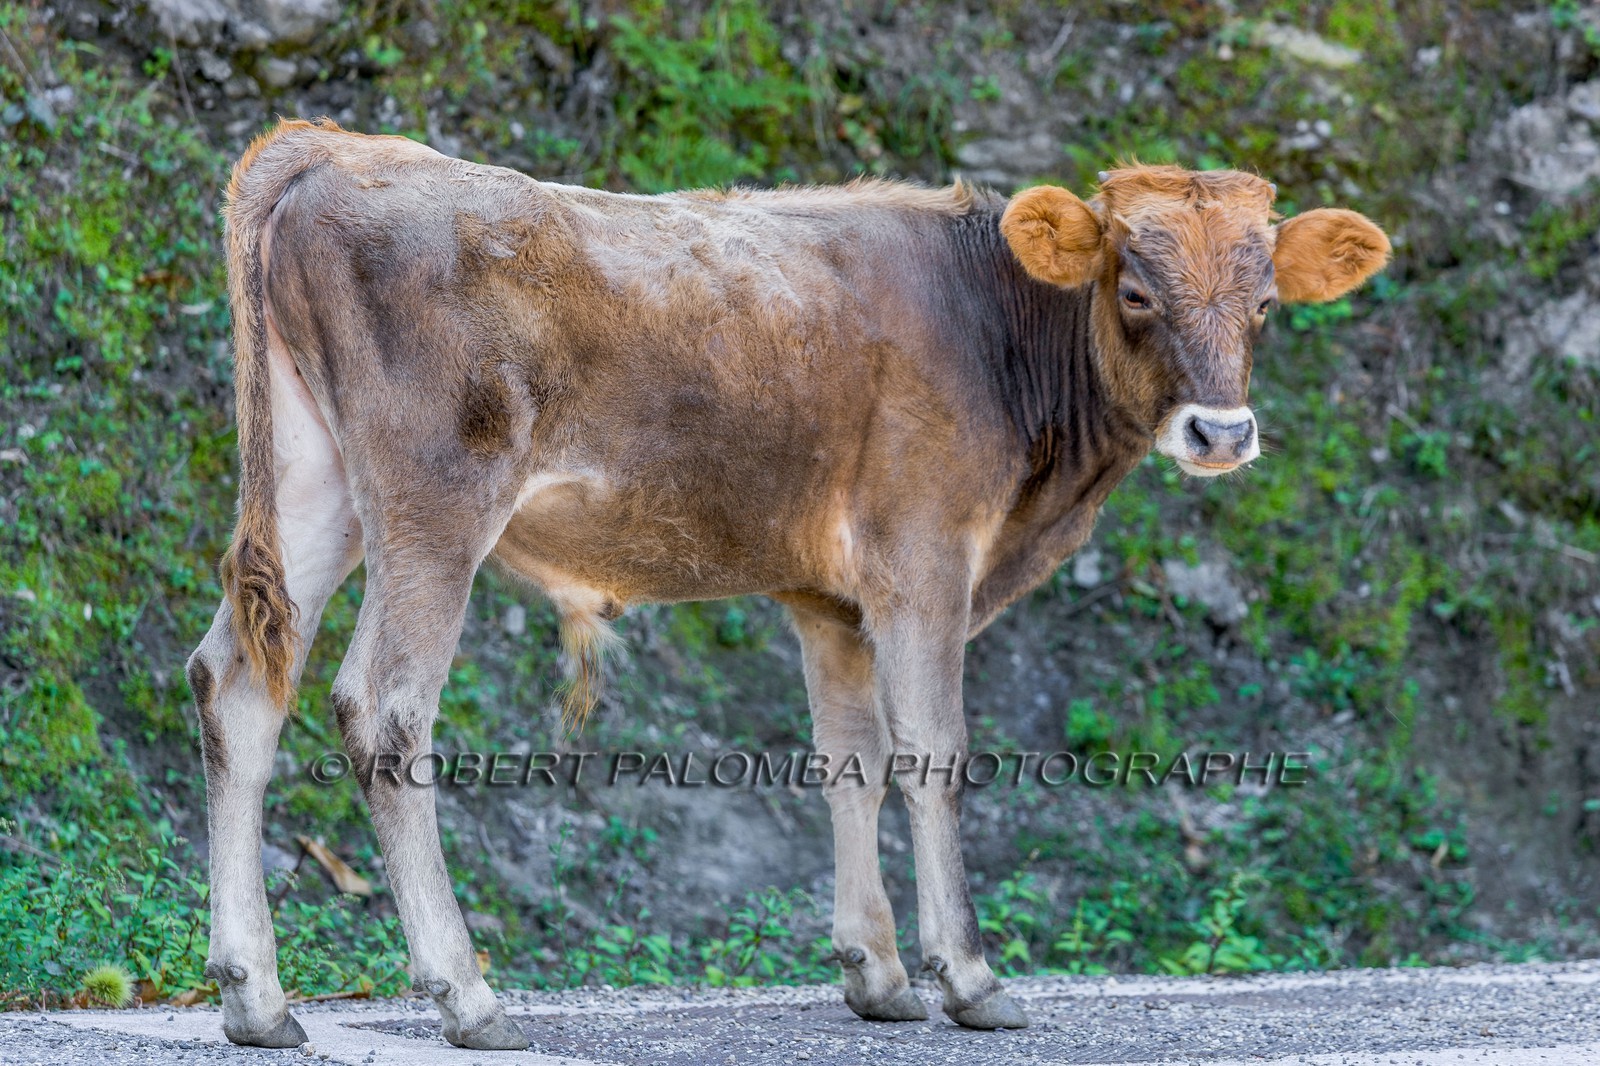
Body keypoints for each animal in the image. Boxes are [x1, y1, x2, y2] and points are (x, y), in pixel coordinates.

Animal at [186, 118, 1389, 1049]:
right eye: (1134, 290)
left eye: (1267, 301)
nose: (1221, 431)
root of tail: (335, 150)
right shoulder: (923, 556)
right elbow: (933, 755)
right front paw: (970, 979)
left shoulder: (832, 603)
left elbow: (850, 761)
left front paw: (879, 976)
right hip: (434, 498)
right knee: (384, 707)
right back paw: (467, 994)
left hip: (315, 487)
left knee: (234, 685)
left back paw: (256, 999)